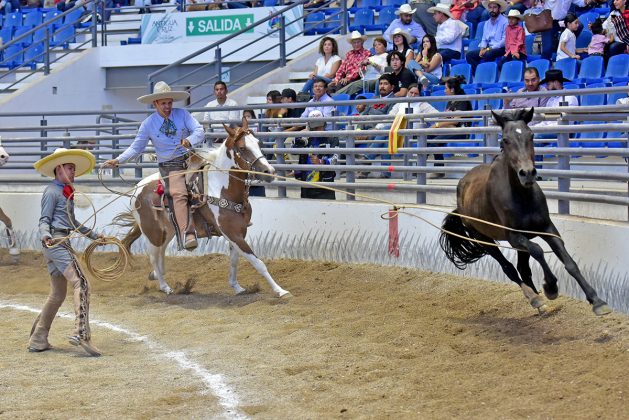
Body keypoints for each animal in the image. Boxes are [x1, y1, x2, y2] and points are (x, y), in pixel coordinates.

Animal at [116, 116, 290, 296]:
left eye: (258, 143)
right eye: (242, 148)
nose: (269, 171)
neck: (222, 188)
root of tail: (137, 189)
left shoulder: (240, 231)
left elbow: (234, 261)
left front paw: (237, 286)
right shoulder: (232, 232)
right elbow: (257, 262)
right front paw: (280, 290)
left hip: (168, 230)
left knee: (161, 254)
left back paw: (157, 276)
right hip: (153, 233)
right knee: (154, 257)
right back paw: (165, 287)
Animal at [440, 107, 612, 316]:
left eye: (531, 135)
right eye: (505, 140)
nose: (527, 173)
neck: (522, 197)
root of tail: (461, 190)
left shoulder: (547, 228)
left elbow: (570, 263)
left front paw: (597, 301)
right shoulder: (514, 236)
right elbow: (538, 251)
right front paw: (550, 287)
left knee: (522, 268)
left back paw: (541, 304)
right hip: (484, 238)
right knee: (510, 269)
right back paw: (535, 298)